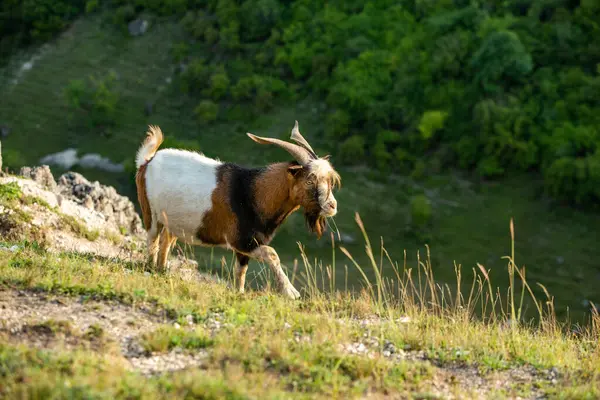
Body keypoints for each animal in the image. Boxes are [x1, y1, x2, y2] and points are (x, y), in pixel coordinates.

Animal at [137, 120, 342, 298]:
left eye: (329, 180)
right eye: (309, 180)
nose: (332, 206)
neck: (252, 193)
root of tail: (147, 162)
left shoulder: (245, 249)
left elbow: (240, 272)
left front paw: (240, 293)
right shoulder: (241, 241)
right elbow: (272, 254)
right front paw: (290, 292)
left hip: (172, 223)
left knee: (165, 242)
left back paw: (162, 271)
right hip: (151, 214)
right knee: (153, 240)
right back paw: (150, 268)